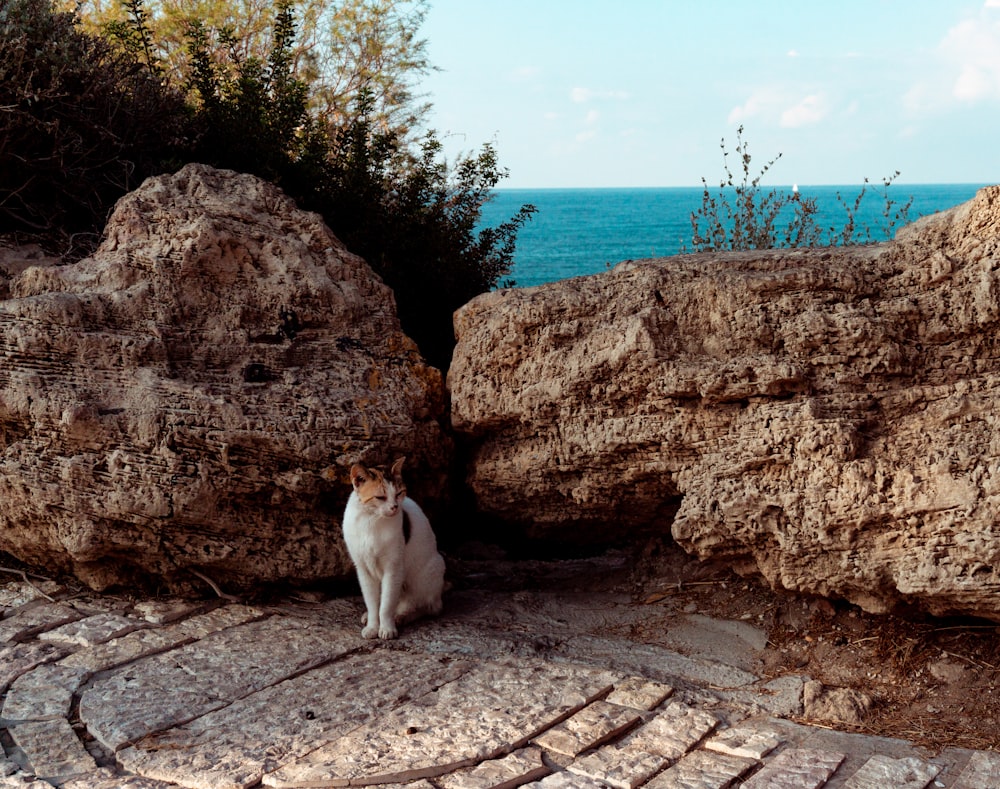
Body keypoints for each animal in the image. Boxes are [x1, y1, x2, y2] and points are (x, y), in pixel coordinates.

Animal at [344, 458, 446, 636]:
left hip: (427, 574)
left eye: (399, 493)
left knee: (428, 606)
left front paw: (386, 628)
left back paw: (402, 616)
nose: (395, 507)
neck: (371, 521)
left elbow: (386, 605)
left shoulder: (393, 568)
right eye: (380, 497)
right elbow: (373, 603)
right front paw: (372, 627)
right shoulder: (363, 569)